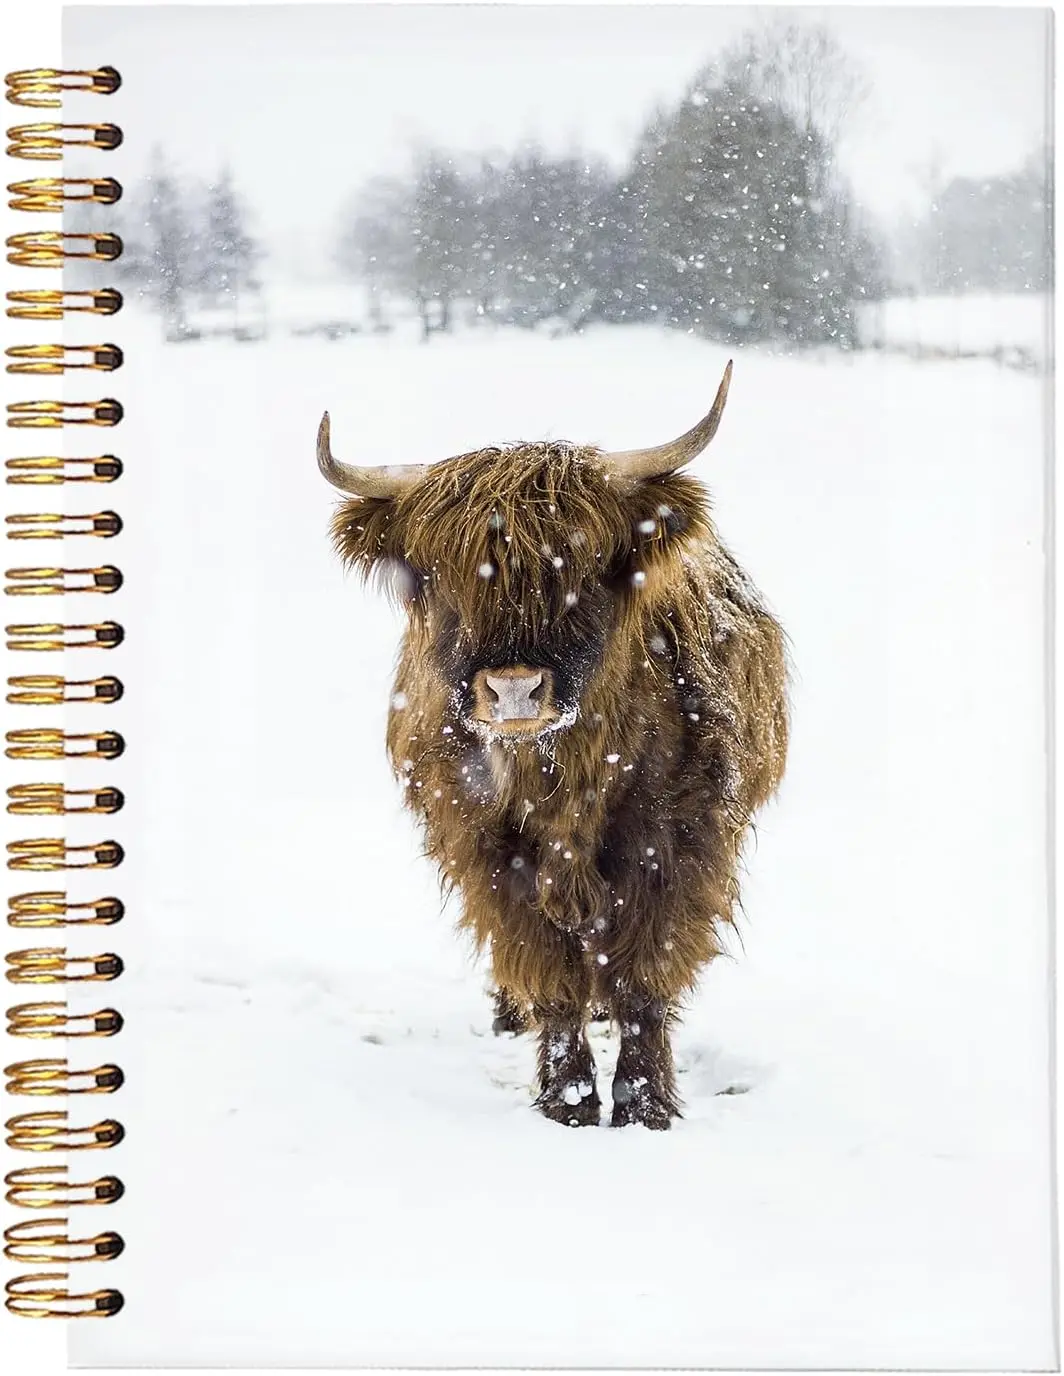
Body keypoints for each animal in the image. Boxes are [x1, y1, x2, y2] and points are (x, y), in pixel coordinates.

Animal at [317, 362, 789, 1129]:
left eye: (584, 568)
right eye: (439, 576)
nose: (514, 690)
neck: (565, 780)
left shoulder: (678, 847)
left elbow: (644, 978)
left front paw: (643, 1107)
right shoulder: (490, 853)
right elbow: (547, 972)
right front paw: (566, 1100)